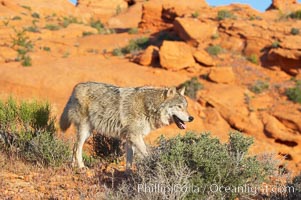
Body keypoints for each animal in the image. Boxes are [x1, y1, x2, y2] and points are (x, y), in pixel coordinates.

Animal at [59, 82, 193, 170]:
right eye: (179, 106)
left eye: (186, 106)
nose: (191, 118)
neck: (149, 106)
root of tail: (76, 87)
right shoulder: (135, 136)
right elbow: (148, 155)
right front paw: (155, 164)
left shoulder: (129, 138)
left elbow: (129, 160)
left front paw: (128, 174)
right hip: (85, 130)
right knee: (77, 148)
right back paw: (81, 167)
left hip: (88, 131)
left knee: (74, 147)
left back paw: (73, 166)